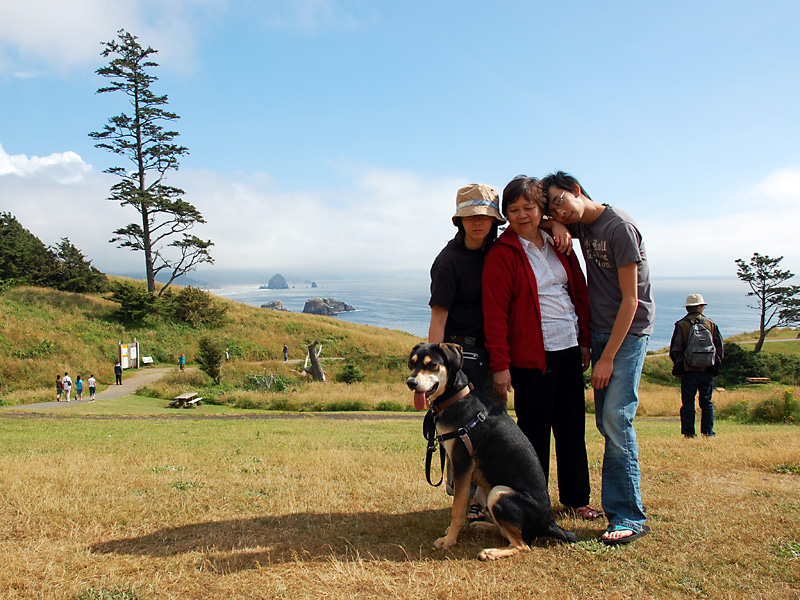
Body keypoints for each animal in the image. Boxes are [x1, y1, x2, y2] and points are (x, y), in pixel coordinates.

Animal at [406, 344, 576, 560]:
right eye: (412, 364)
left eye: (432, 364)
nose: (411, 382)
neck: (456, 397)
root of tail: (550, 523)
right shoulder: (463, 472)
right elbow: (462, 505)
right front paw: (457, 531)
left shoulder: (462, 463)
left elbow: (457, 510)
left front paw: (449, 541)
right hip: (485, 491)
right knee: (508, 534)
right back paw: (481, 526)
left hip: (499, 492)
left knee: (523, 545)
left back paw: (491, 552)